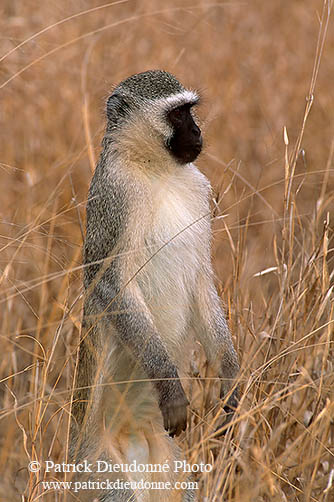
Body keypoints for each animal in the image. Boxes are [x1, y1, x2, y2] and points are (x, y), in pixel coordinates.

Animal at [70, 67, 239, 502]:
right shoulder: (116, 195)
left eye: (190, 111)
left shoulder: (198, 189)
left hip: (166, 464)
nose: (197, 131)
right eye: (177, 114)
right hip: (96, 469)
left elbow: (201, 279)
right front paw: (171, 387)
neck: (155, 169)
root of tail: (134, 436)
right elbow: (110, 285)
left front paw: (230, 383)